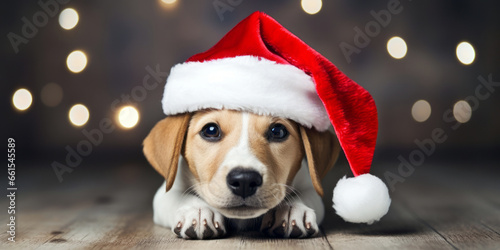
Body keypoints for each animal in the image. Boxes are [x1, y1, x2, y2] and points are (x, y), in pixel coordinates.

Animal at [143, 109, 342, 238]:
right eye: (210, 130)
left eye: (278, 131)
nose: (245, 181)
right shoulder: (165, 192)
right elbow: (179, 197)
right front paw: (196, 211)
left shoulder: (309, 185)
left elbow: (302, 195)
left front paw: (292, 210)